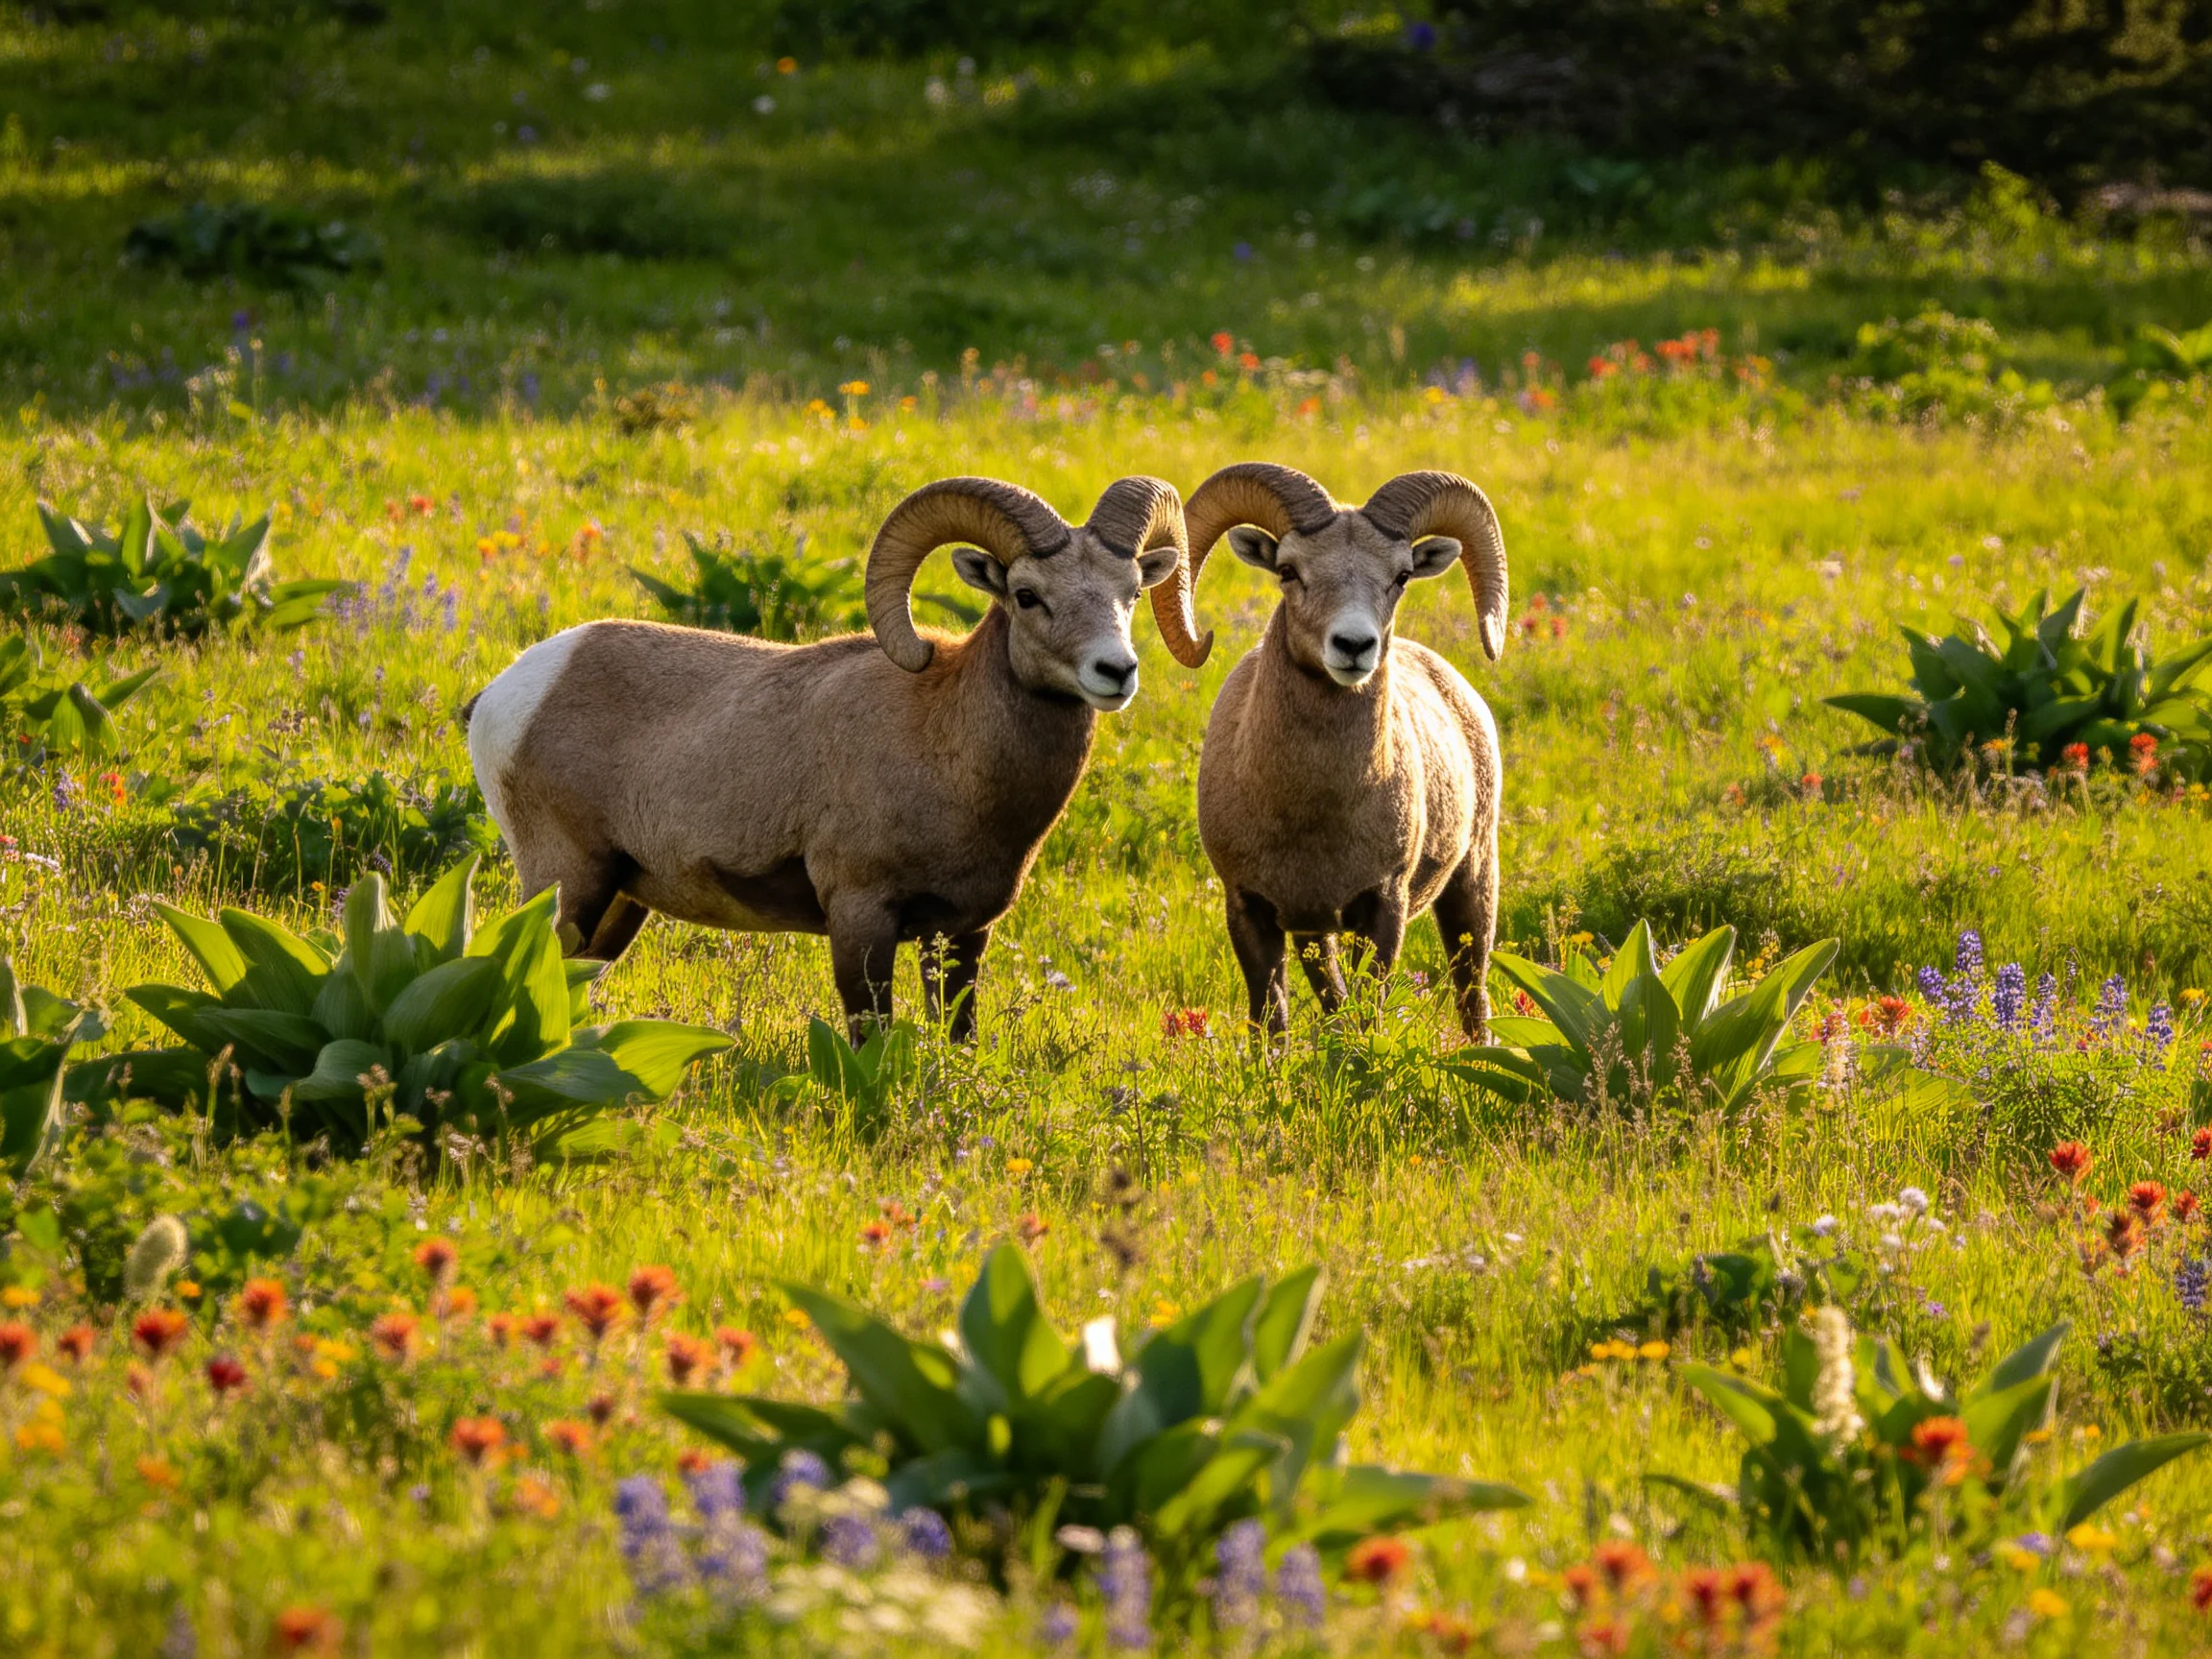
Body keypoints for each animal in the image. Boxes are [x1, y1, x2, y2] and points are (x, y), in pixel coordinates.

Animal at [465, 474, 1193, 1041]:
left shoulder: (962, 935)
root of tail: (504, 695)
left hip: (619, 900)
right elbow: (869, 1035)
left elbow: (955, 1034)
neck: (947, 748)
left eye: (1131, 592)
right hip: (569, 880)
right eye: (1027, 595)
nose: (1116, 671)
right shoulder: (860, 917)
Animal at [1147, 461, 1509, 1039]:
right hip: (1316, 935)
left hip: (1472, 885)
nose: (1354, 645)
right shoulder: (1251, 910)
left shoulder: (1383, 907)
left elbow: (1367, 1014)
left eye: (1401, 576)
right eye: (1288, 570)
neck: (1311, 813)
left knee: (1472, 997)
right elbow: (1271, 1023)